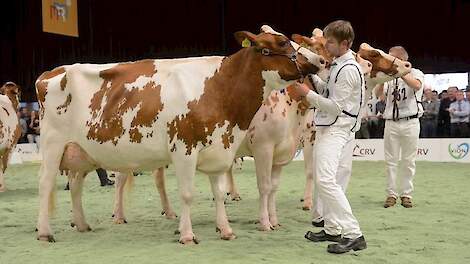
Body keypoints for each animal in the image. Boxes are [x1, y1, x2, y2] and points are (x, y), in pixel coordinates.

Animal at [35, 25, 326, 242]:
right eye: (282, 43)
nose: (318, 62)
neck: (220, 88)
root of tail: (53, 71)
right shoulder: (187, 148)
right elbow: (188, 194)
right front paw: (188, 235)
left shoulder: (220, 145)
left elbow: (219, 192)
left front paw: (226, 230)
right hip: (52, 145)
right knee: (46, 184)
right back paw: (45, 232)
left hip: (82, 151)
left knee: (76, 185)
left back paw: (82, 224)